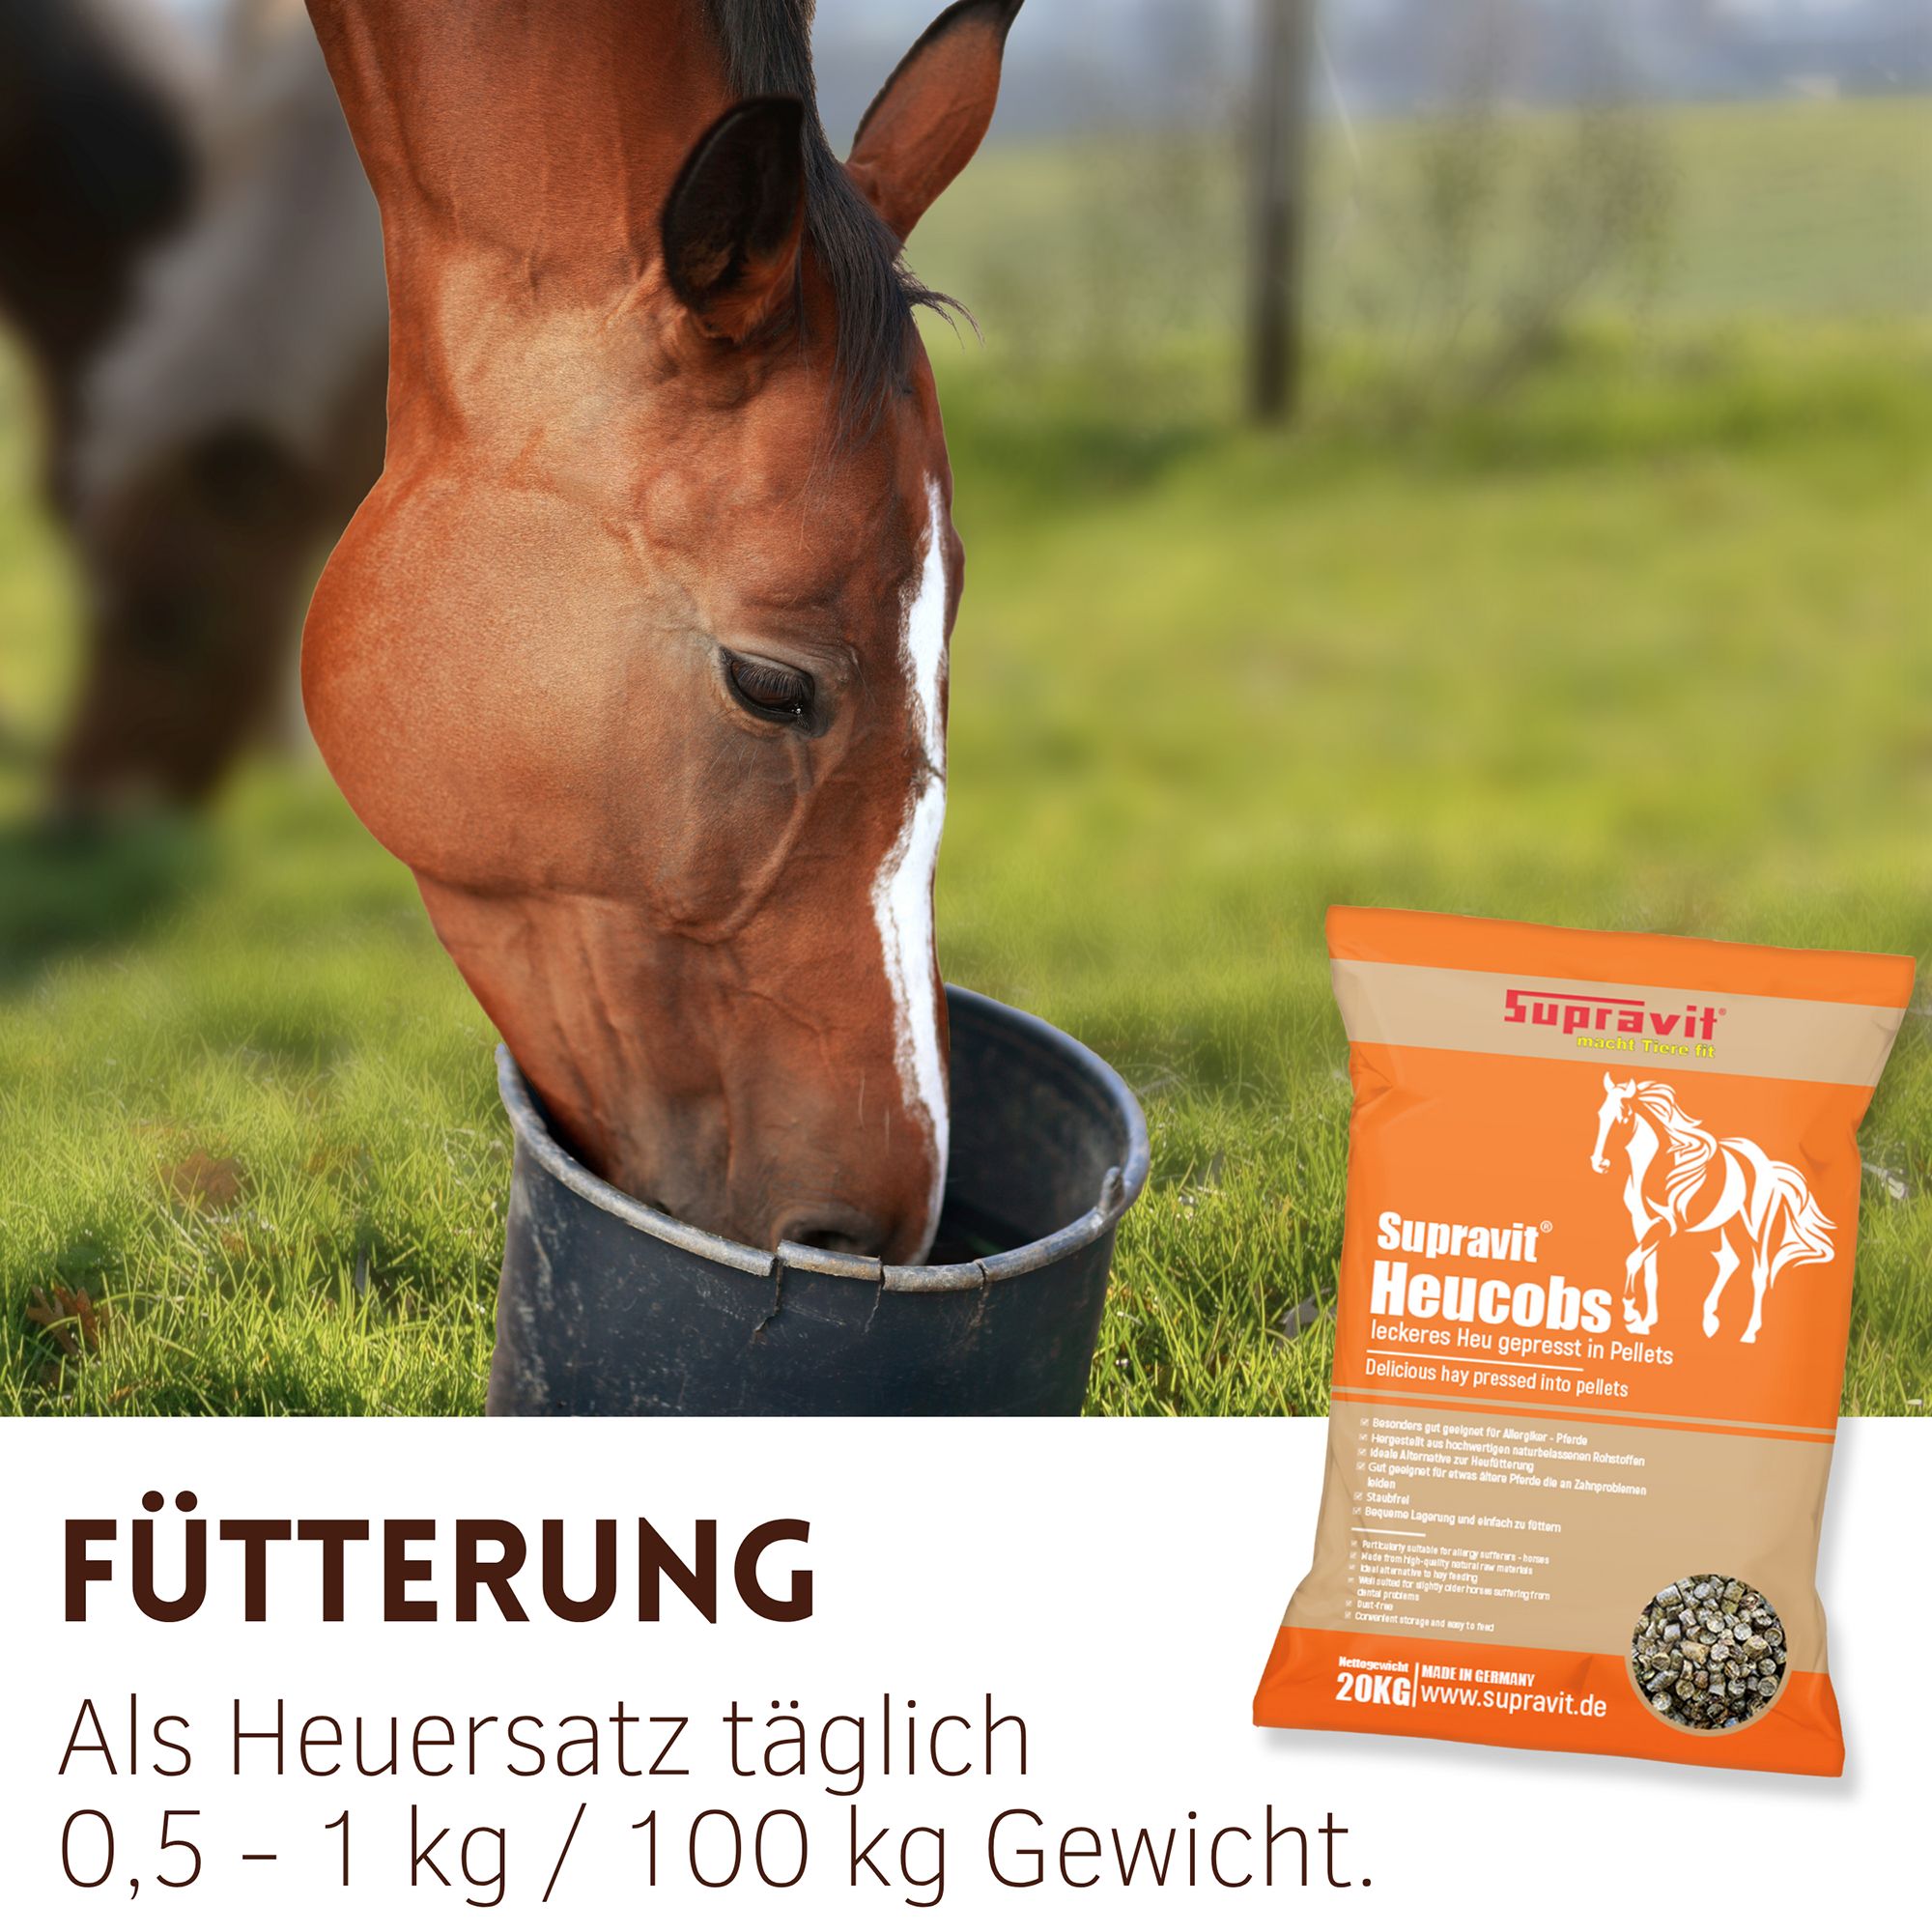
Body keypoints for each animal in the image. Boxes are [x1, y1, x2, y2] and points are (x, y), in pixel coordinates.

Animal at [1589, 1073, 1836, 1345]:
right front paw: (1645, 1323)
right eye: (1600, 1114)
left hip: (1755, 1229)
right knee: (1729, 1260)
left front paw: (1631, 1314)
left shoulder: (1666, 1225)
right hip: (1726, 1224)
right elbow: (1649, 1273)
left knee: (1758, 1273)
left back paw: (1748, 1333)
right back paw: (1710, 1321)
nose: (1599, 1163)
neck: (1654, 1169)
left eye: (1623, 1117)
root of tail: (1770, 1167)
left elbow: (1632, 1260)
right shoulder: (1641, 1223)